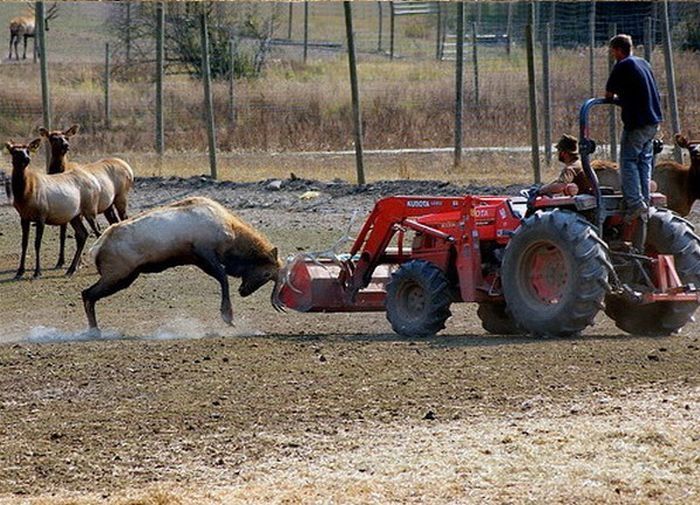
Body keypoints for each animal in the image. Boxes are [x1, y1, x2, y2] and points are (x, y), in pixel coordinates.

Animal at [6, 138, 101, 278]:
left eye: (27, 149)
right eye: (14, 151)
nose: (27, 158)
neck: (24, 195)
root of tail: (96, 183)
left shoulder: (41, 215)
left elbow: (37, 243)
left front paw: (37, 272)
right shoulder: (23, 217)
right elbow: (24, 243)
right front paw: (19, 272)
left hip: (90, 210)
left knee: (98, 231)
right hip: (75, 216)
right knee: (83, 234)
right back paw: (71, 270)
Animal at [39, 123, 135, 268]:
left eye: (66, 137)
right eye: (53, 138)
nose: (66, 145)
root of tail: (129, 169)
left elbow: (77, 234)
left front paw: (78, 263)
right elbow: (63, 234)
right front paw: (60, 261)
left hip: (121, 196)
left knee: (124, 218)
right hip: (108, 205)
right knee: (114, 221)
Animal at [84, 196, 284, 330]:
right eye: (267, 273)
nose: (244, 291)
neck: (233, 236)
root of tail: (96, 249)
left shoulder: (198, 259)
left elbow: (222, 278)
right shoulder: (204, 251)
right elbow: (223, 278)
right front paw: (227, 315)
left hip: (125, 276)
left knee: (88, 294)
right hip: (119, 275)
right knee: (87, 293)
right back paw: (94, 330)